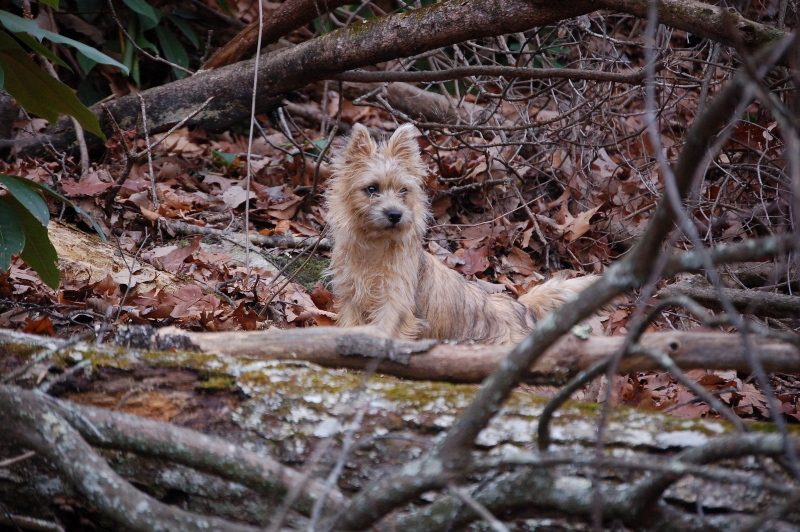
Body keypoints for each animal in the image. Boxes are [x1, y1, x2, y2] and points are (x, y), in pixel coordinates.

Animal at [324, 123, 592, 344]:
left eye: (403, 190)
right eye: (372, 189)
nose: (395, 214)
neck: (374, 246)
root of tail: (518, 307)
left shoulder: (394, 302)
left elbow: (384, 330)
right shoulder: (350, 297)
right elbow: (350, 325)